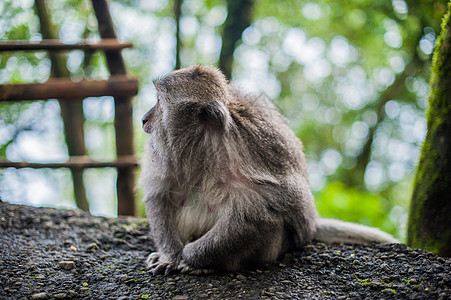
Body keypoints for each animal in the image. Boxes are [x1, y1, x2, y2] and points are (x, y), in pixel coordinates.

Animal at [139, 64, 398, 276]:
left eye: (159, 102)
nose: (144, 119)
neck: (203, 148)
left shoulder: (247, 161)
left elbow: (259, 215)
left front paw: (191, 258)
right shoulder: (164, 158)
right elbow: (158, 195)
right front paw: (170, 255)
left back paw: (213, 264)